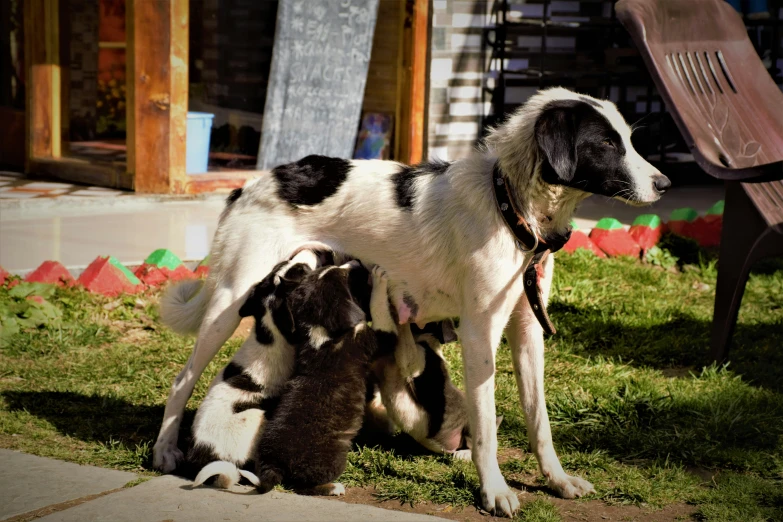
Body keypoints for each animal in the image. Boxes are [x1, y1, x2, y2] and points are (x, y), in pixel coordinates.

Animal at [156, 87, 672, 512]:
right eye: (606, 144)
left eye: (628, 138)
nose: (664, 184)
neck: (508, 204)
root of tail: (254, 182)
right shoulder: (480, 333)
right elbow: (487, 425)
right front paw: (494, 491)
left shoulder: (528, 329)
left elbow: (538, 418)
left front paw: (557, 481)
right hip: (228, 303)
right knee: (183, 377)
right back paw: (165, 448)